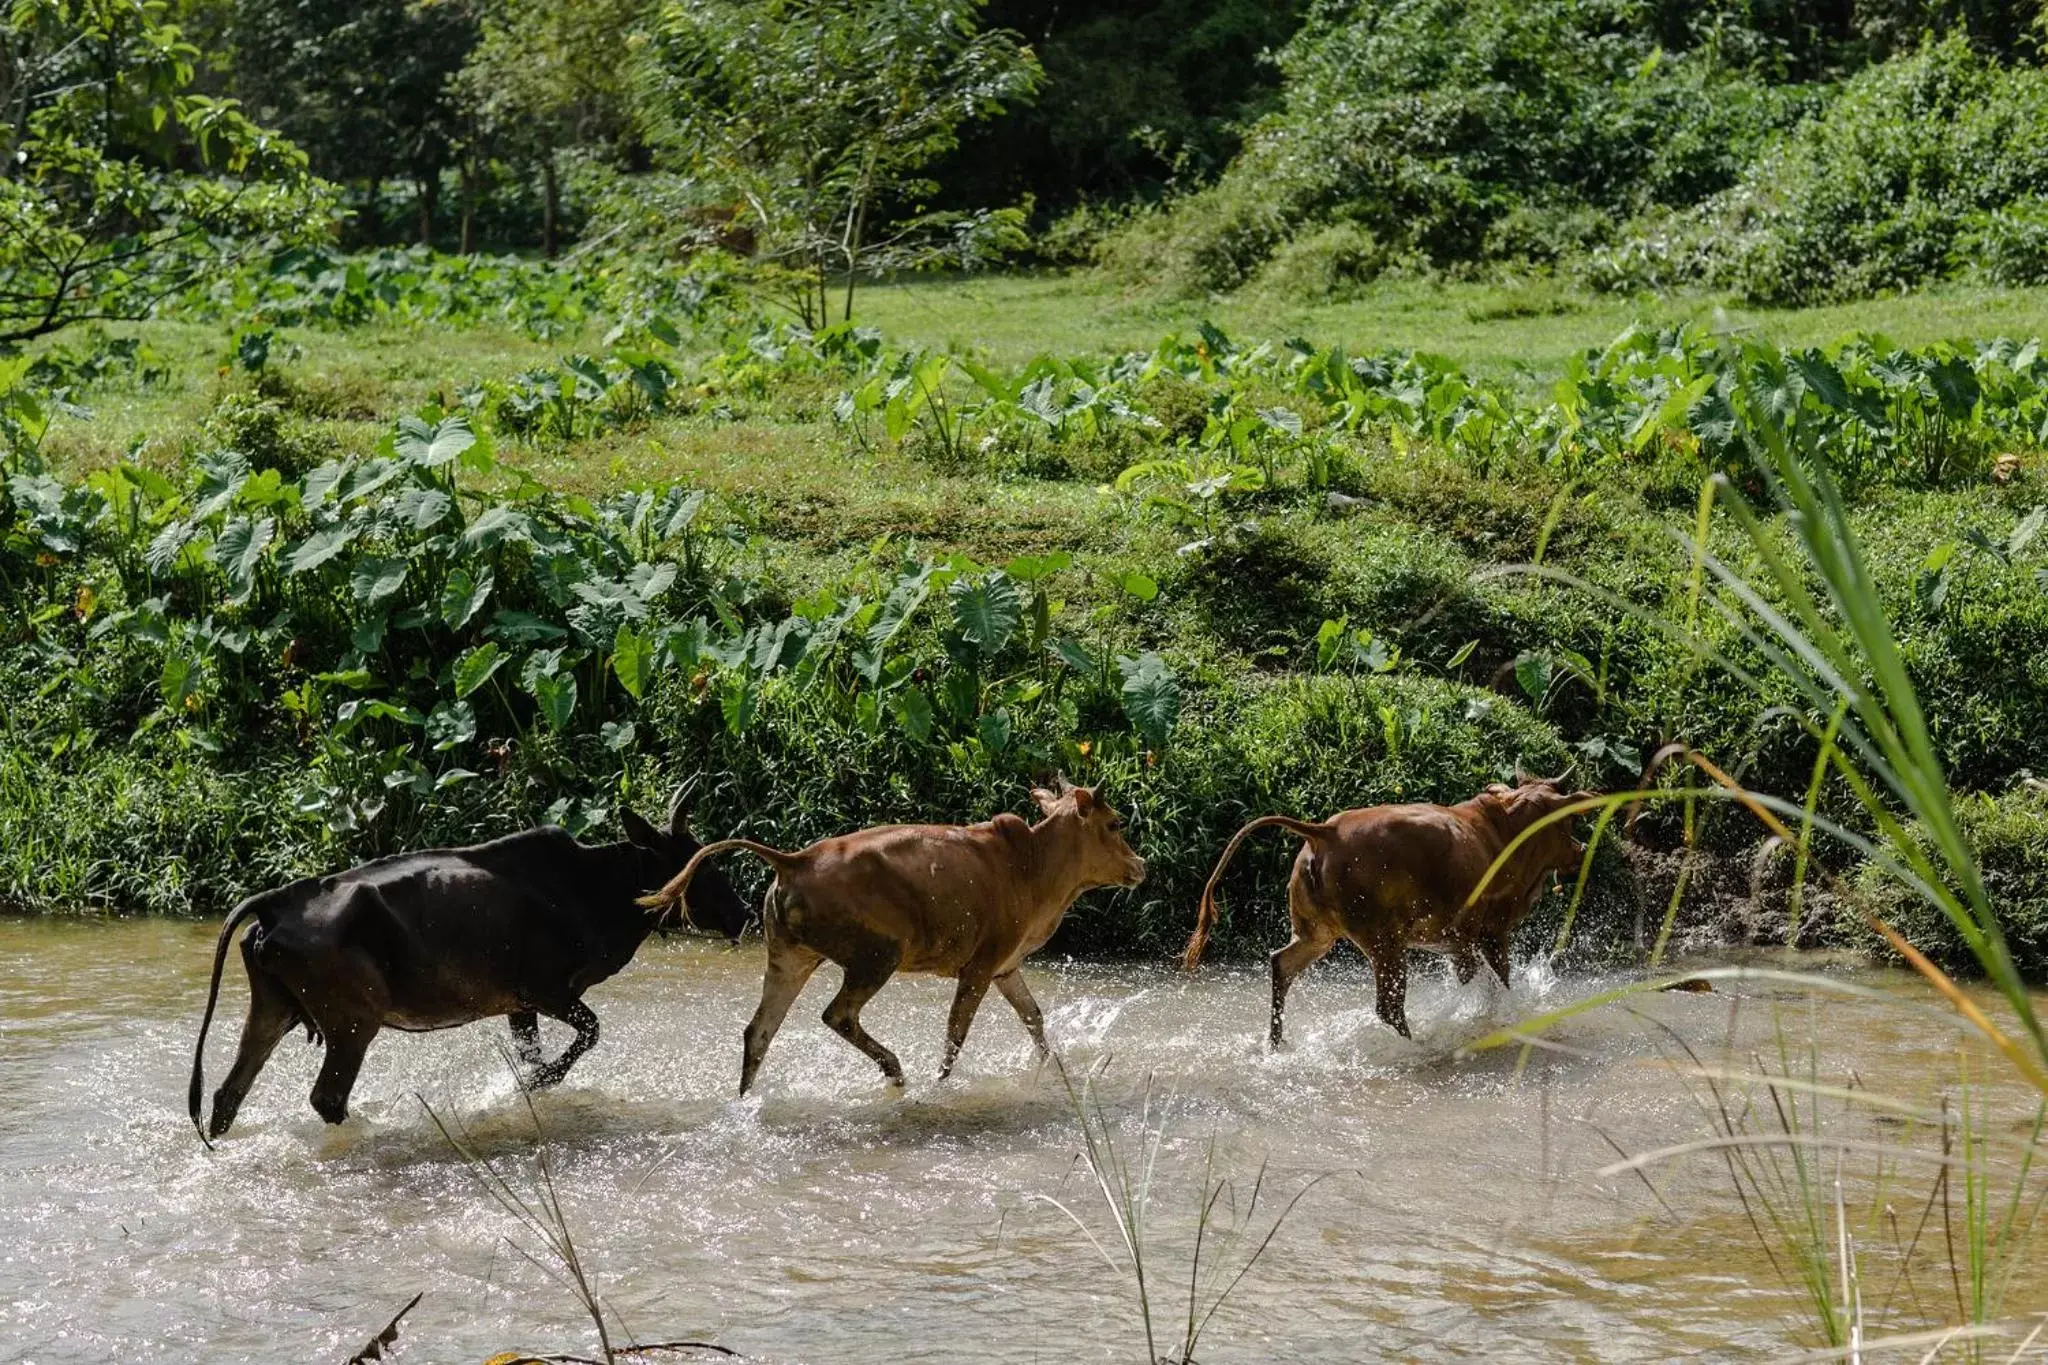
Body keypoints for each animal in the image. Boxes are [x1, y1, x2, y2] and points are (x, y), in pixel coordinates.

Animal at [190, 794, 753, 1146]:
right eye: (700, 863)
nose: (744, 913)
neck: (596, 888)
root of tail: (276, 903)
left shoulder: (520, 1006)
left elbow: (537, 1052)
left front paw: (531, 1084)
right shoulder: (546, 991)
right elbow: (588, 1035)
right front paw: (532, 1084)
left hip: (274, 1011)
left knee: (227, 1093)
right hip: (352, 1023)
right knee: (326, 1097)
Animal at [643, 785, 1155, 1096]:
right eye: (1115, 824)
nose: (1140, 866)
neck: (1032, 867)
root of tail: (793, 860)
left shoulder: (1007, 966)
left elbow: (1034, 1018)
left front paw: (1052, 1068)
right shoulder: (979, 966)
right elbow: (955, 1035)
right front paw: (940, 1084)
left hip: (790, 958)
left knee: (759, 1031)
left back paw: (745, 1098)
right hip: (876, 956)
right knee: (836, 1014)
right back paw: (894, 1069)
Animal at [1187, 777, 1597, 1047]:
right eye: (1569, 820)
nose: (1580, 851)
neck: (1504, 830)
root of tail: (1324, 832)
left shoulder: (1459, 944)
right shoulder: (1492, 933)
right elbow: (1499, 986)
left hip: (1316, 933)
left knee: (1281, 964)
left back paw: (1275, 1043)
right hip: (1384, 943)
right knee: (1388, 1006)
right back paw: (1415, 1046)